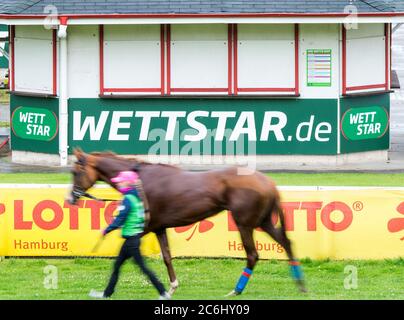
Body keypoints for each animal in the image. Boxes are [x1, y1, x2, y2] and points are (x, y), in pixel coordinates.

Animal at [68, 149, 306, 296]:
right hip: (263, 221)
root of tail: (269, 182)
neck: (139, 180)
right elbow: (166, 257)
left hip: (244, 223)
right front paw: (171, 287)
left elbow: (124, 254)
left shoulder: (144, 227)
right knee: (286, 242)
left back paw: (236, 290)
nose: (70, 199)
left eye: (76, 172)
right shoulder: (159, 228)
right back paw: (300, 285)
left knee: (253, 255)